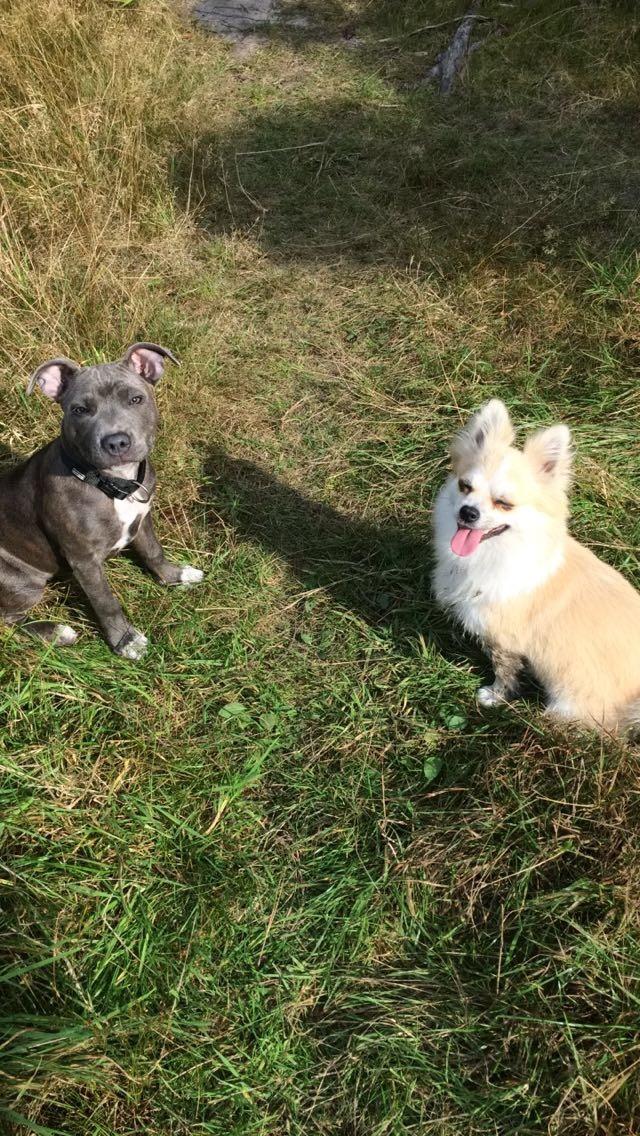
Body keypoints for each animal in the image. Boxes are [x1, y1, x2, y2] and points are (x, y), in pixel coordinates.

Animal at [0, 338, 202, 658]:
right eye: (80, 410)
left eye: (136, 399)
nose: (116, 441)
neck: (113, 482)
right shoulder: (84, 561)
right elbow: (106, 602)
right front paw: (125, 640)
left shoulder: (143, 519)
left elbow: (154, 551)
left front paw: (175, 575)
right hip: (22, 583)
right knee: (8, 618)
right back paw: (56, 632)